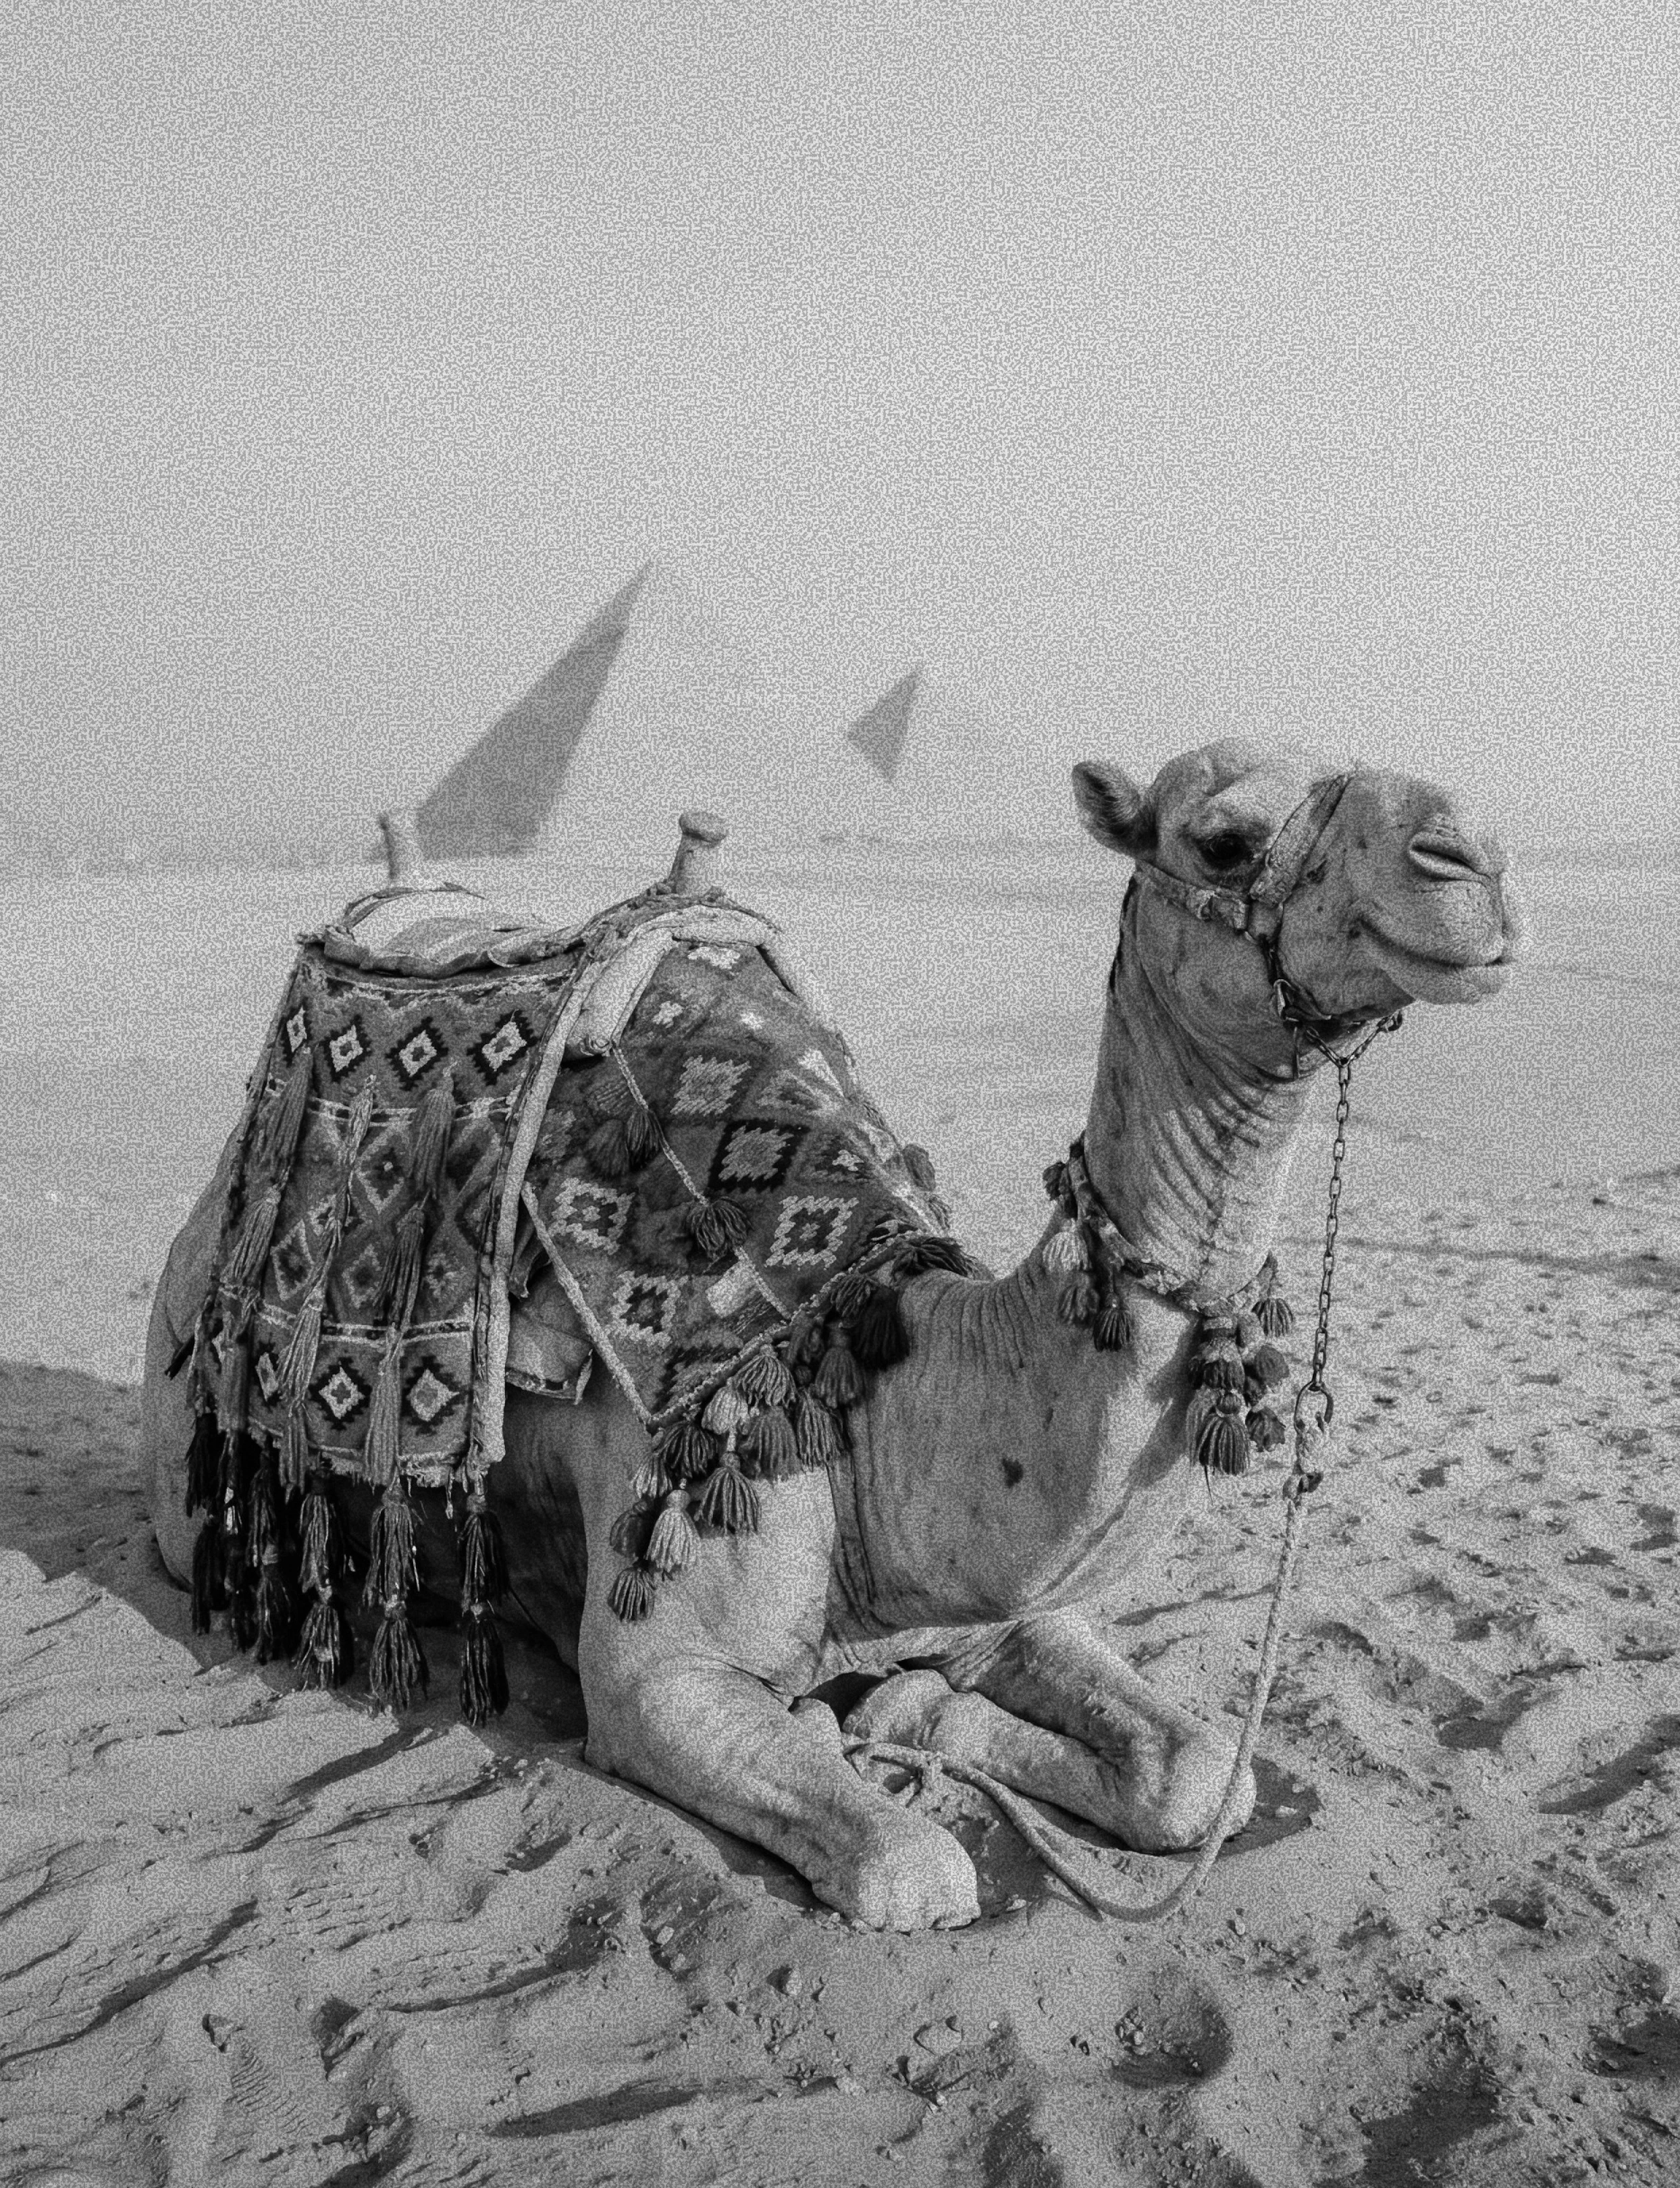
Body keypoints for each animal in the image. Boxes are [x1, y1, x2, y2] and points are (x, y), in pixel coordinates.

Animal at [141, 739, 1522, 1930]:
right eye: (1225, 839)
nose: (1476, 860)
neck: (871, 1396)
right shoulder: (660, 1664)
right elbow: (911, 1870)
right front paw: (862, 1737)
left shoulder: (995, 1599)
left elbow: (1198, 1776)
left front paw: (916, 1719)